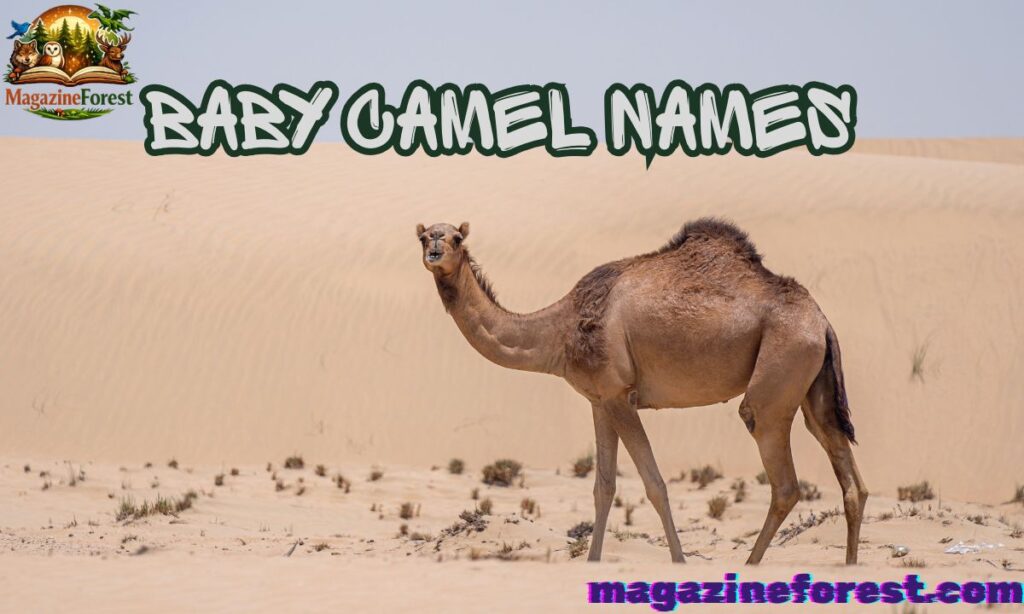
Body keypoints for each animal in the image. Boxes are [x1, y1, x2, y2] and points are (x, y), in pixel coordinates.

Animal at [416, 218, 867, 565]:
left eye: (456, 238)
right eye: (424, 236)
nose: (435, 246)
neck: (558, 331)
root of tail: (821, 321)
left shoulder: (619, 396)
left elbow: (654, 484)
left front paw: (680, 561)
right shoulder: (598, 401)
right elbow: (603, 487)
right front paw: (593, 562)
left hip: (779, 371)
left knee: (783, 478)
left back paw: (750, 566)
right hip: (813, 385)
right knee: (847, 472)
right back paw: (848, 567)